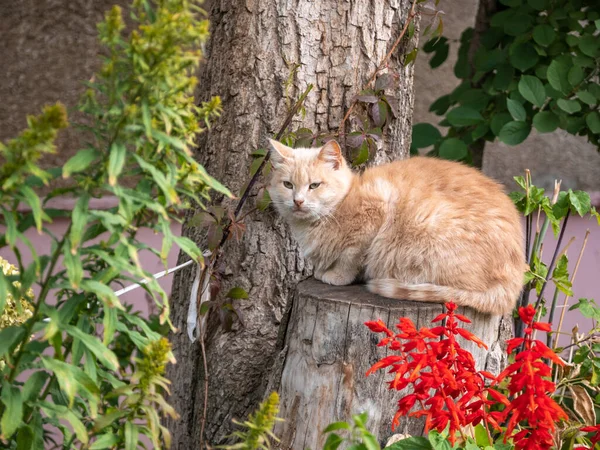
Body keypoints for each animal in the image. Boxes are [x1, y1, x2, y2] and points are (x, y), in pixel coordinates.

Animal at [268, 139, 524, 314]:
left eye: (314, 185)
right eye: (288, 185)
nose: (298, 201)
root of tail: (514, 282)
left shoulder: (376, 212)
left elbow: (350, 256)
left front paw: (336, 275)